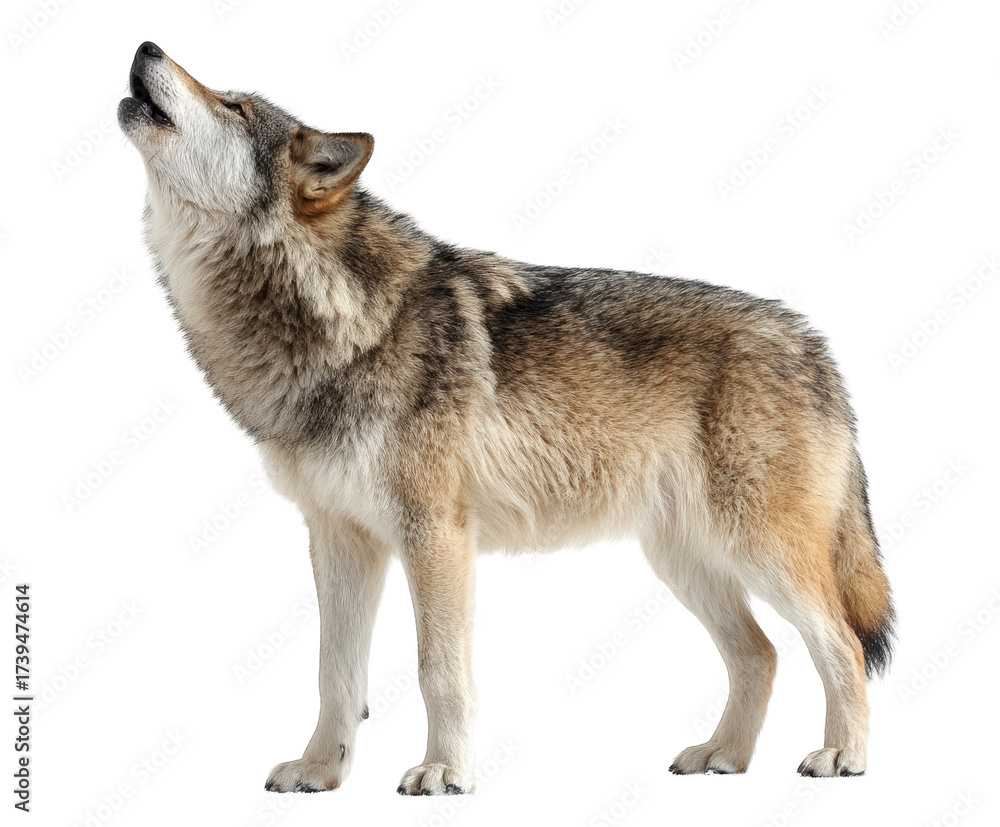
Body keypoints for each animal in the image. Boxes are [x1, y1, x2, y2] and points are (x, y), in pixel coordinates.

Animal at [118, 41, 894, 794]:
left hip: (760, 550)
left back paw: (843, 758)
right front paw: (321, 771)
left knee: (843, 646)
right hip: (685, 560)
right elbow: (334, 674)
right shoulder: (339, 537)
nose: (146, 44)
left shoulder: (434, 533)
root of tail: (815, 343)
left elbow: (437, 670)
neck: (332, 313)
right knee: (761, 654)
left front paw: (445, 771)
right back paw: (723, 756)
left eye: (234, 105)